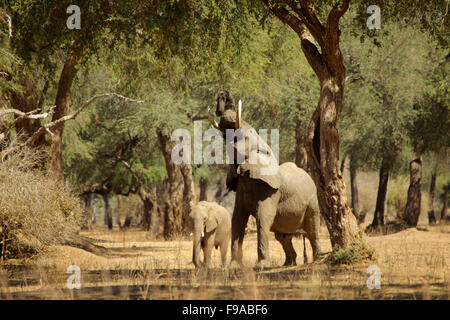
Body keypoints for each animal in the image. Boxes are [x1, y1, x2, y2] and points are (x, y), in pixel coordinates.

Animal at [207, 90, 320, 268]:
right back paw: (289, 263)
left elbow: (263, 218)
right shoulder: (241, 187)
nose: (223, 94)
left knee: (312, 229)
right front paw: (234, 267)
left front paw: (261, 267)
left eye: (245, 135)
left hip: (312, 200)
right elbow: (237, 219)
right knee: (282, 236)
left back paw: (317, 260)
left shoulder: (270, 192)